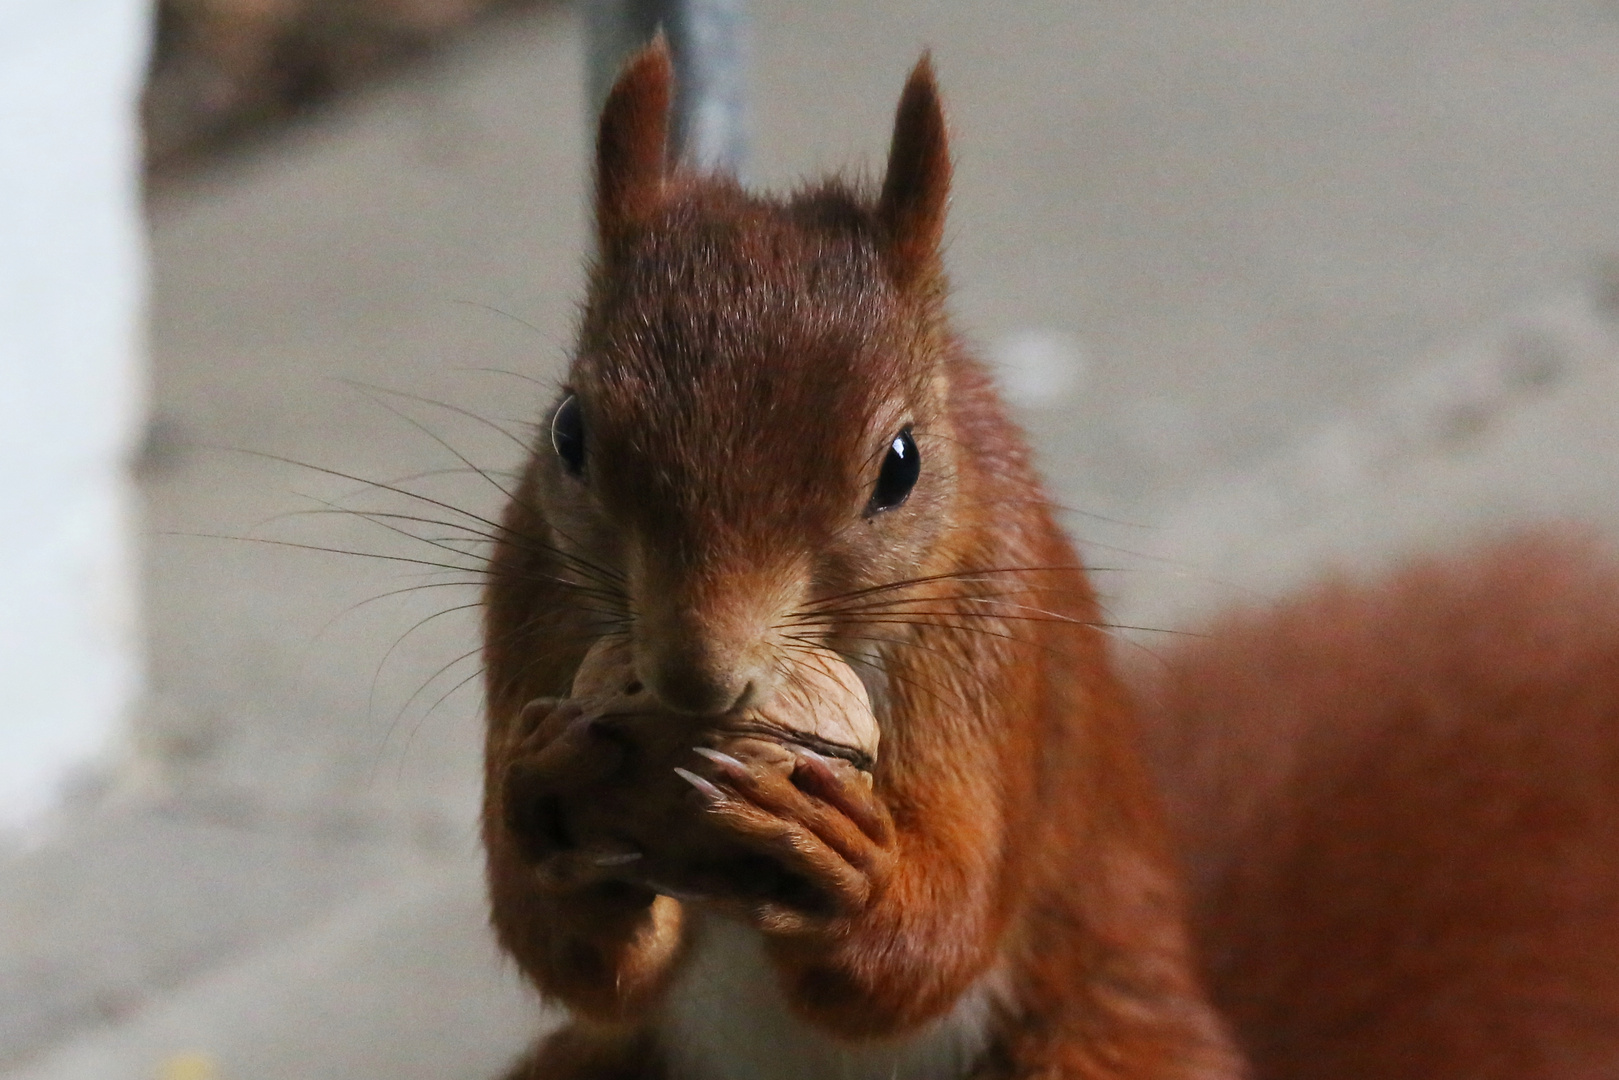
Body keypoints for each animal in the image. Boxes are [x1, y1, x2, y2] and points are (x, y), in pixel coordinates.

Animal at [482, 42, 1619, 1080]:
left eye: (899, 465)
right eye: (569, 431)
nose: (695, 675)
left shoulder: (993, 655)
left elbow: (933, 944)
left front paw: (852, 867)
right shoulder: (530, 612)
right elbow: (580, 960)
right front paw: (543, 791)